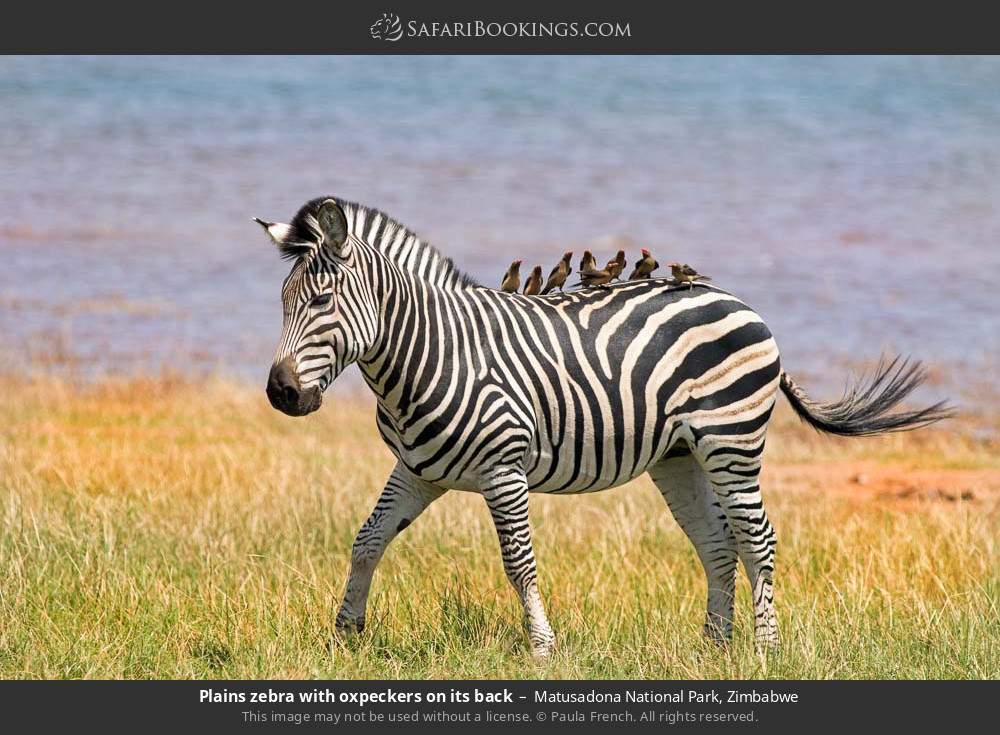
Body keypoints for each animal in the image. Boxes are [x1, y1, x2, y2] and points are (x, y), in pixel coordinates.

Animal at [257, 196, 950, 656]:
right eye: (282, 303)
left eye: (321, 302)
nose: (281, 393)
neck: (433, 352)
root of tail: (737, 301)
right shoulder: (417, 470)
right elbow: (367, 540)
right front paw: (346, 633)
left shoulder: (503, 470)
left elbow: (519, 563)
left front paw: (542, 647)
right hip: (680, 456)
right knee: (717, 542)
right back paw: (714, 646)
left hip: (732, 442)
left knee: (759, 539)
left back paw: (765, 649)